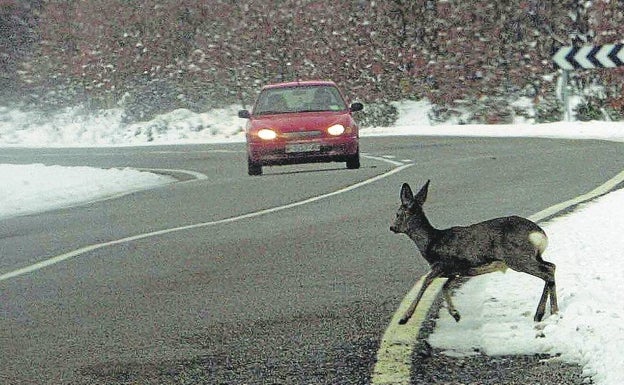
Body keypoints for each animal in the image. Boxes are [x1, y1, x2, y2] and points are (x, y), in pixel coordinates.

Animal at [390, 180, 560, 324]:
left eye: (398, 214)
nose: (392, 227)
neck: (432, 242)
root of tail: (539, 234)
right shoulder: (456, 271)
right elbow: (444, 287)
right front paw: (456, 314)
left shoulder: (444, 264)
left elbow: (426, 281)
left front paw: (405, 317)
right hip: (534, 256)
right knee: (551, 266)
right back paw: (547, 313)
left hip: (517, 258)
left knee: (547, 272)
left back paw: (546, 312)